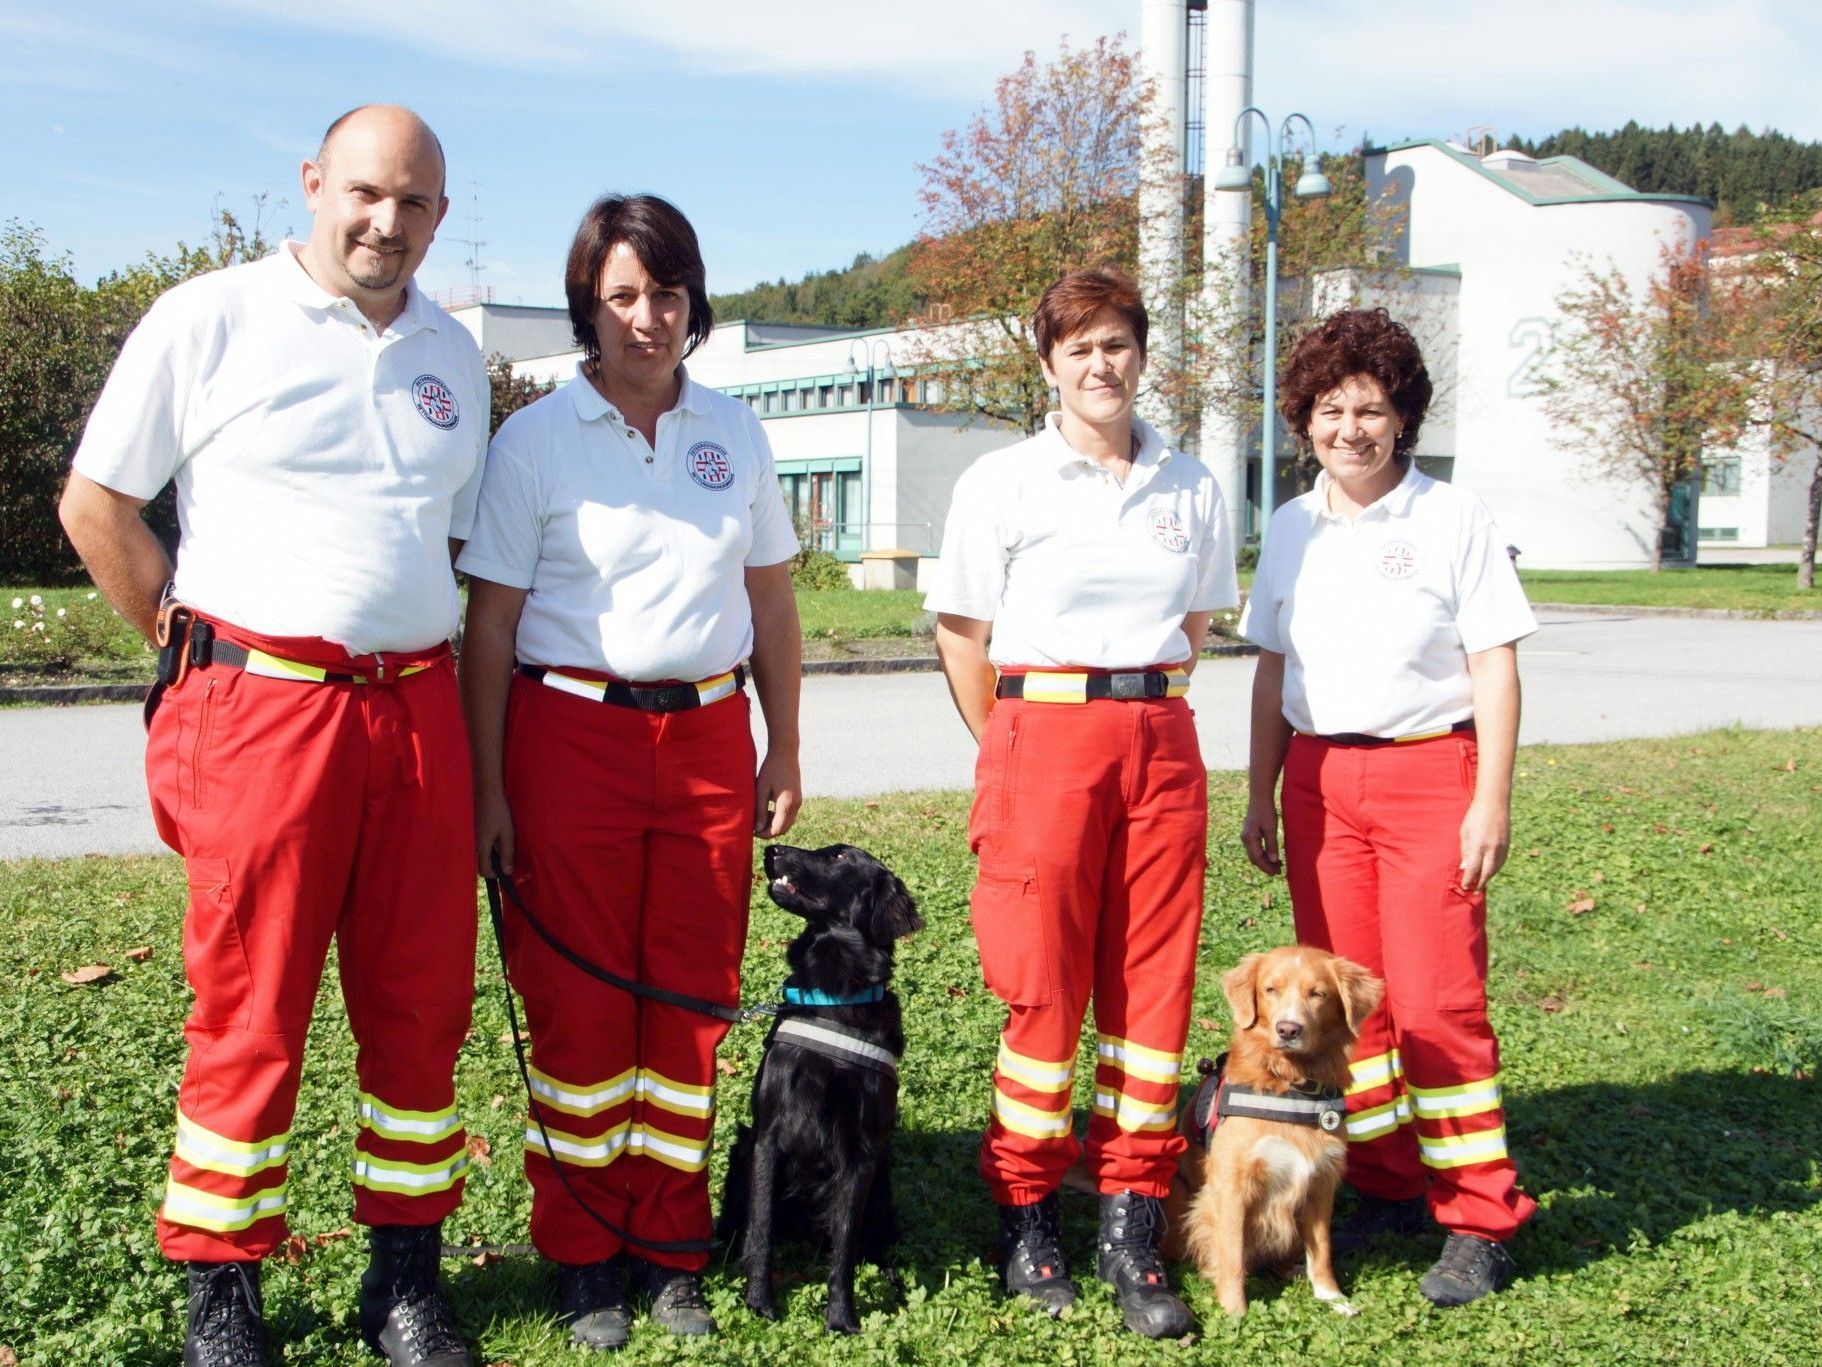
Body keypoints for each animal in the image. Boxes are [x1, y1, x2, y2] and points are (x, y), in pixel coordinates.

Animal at [717, 845, 925, 1341]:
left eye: (841, 856)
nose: (771, 849)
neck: (836, 1000)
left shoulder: (861, 1155)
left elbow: (845, 1245)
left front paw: (842, 1318)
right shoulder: (768, 1137)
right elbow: (761, 1229)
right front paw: (759, 1302)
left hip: (882, 1182)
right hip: (741, 1150)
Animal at [1180, 955, 1377, 1319]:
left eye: (1318, 994)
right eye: (1270, 989)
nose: (1288, 1029)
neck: (1290, 1085)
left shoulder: (1321, 1182)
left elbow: (1323, 1248)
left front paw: (1332, 1296)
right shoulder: (1232, 1184)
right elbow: (1231, 1253)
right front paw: (1234, 1311)